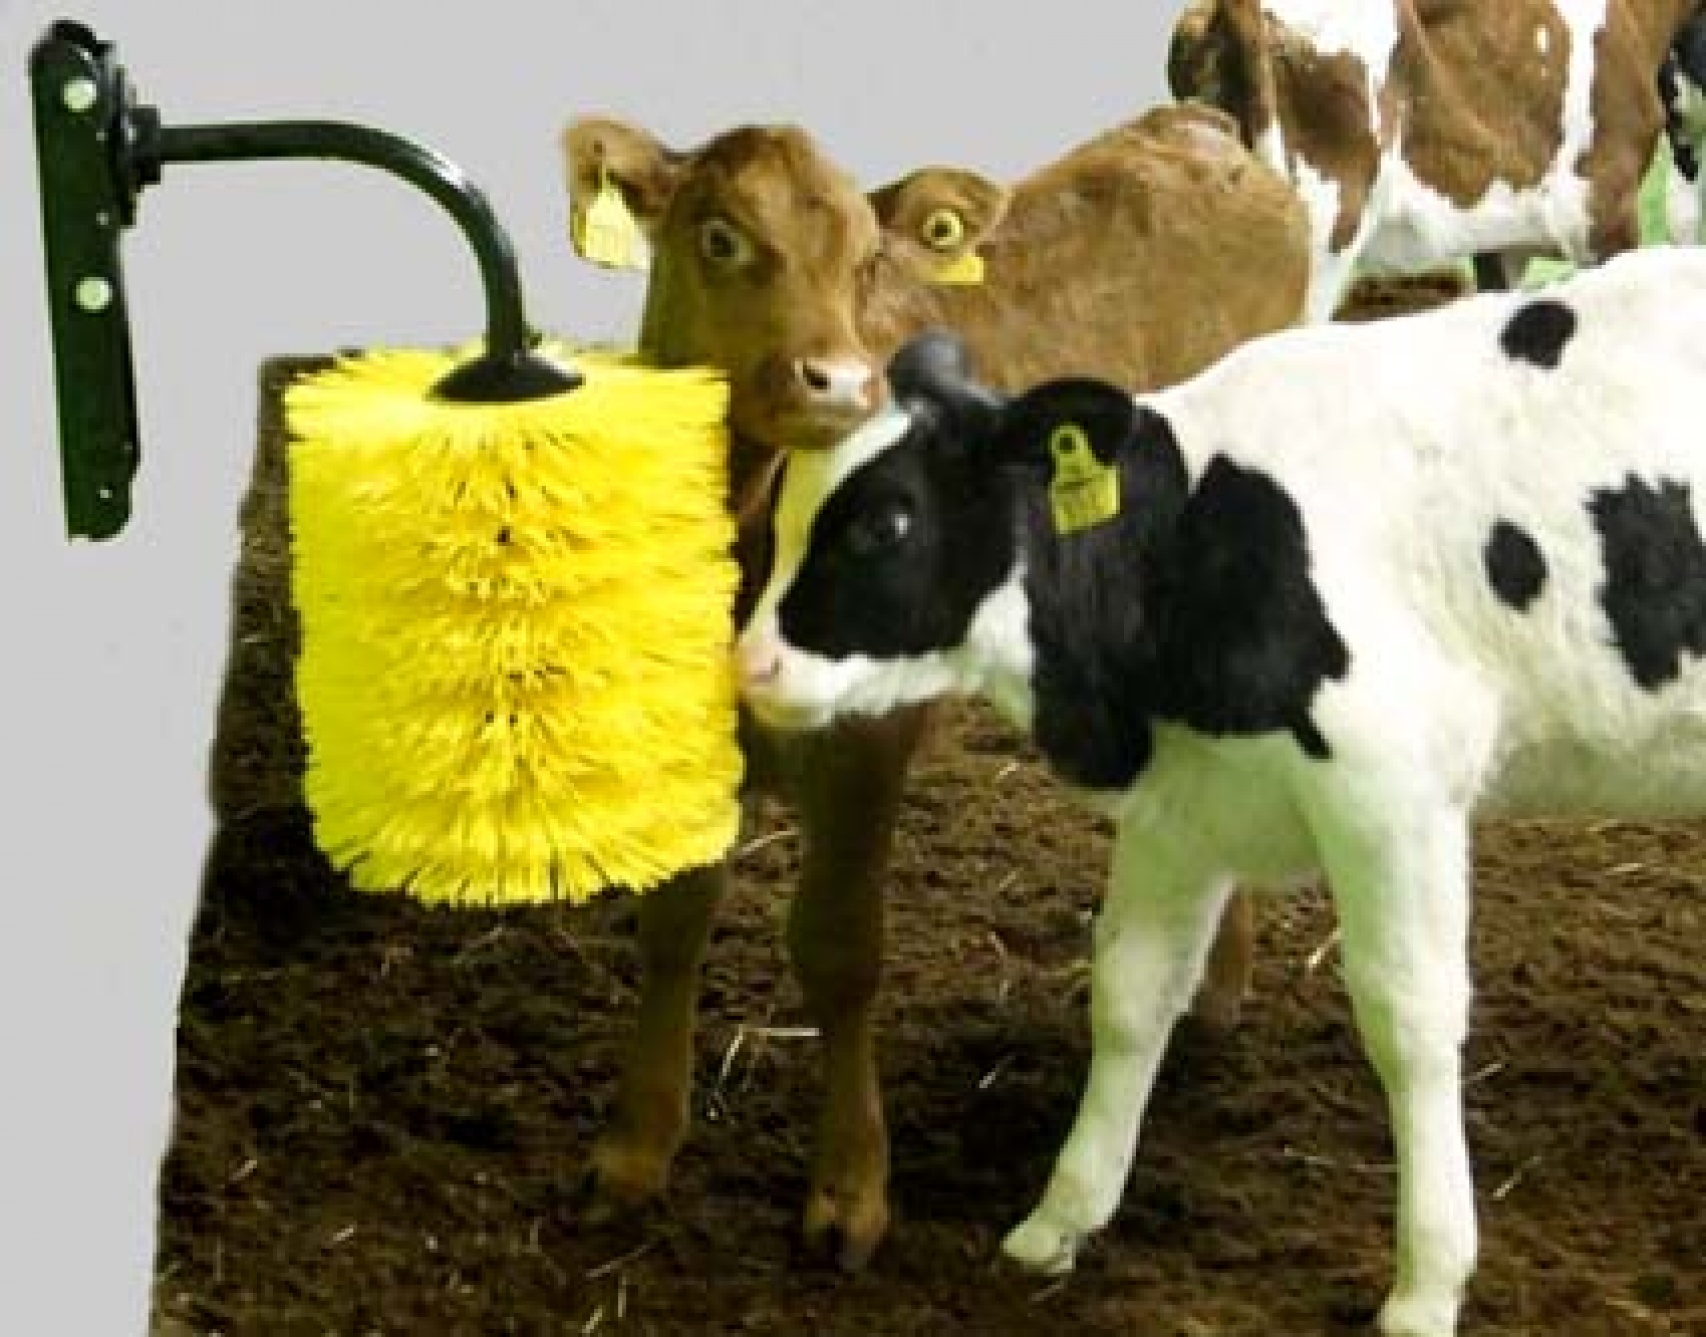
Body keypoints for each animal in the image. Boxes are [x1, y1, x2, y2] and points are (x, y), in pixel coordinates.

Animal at [558, 104, 1313, 1266]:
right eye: (720, 237)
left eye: (868, 259)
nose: (842, 381)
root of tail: (1189, 127)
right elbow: (675, 918)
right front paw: (635, 1152)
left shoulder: (871, 737)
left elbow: (838, 945)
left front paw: (848, 1191)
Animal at [733, 245, 1706, 1334]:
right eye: (781, 513)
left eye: (886, 522)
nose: (751, 663)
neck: (1193, 546)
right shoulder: (1183, 800)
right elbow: (1129, 986)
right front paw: (1059, 1217)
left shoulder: (1392, 791)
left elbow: (1409, 1022)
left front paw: (1425, 1284)